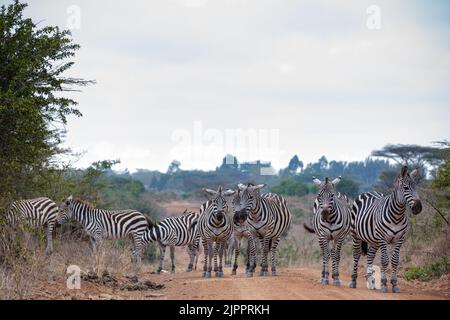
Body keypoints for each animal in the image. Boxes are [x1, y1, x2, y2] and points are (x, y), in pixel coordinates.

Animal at [350, 166, 424, 294]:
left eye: (416, 188)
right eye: (405, 188)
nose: (418, 208)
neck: (397, 215)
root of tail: (368, 192)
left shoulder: (399, 239)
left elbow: (395, 260)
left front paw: (394, 284)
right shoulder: (383, 238)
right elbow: (384, 260)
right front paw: (384, 284)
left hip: (374, 241)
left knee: (370, 256)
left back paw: (371, 282)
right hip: (356, 235)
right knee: (356, 255)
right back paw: (353, 281)